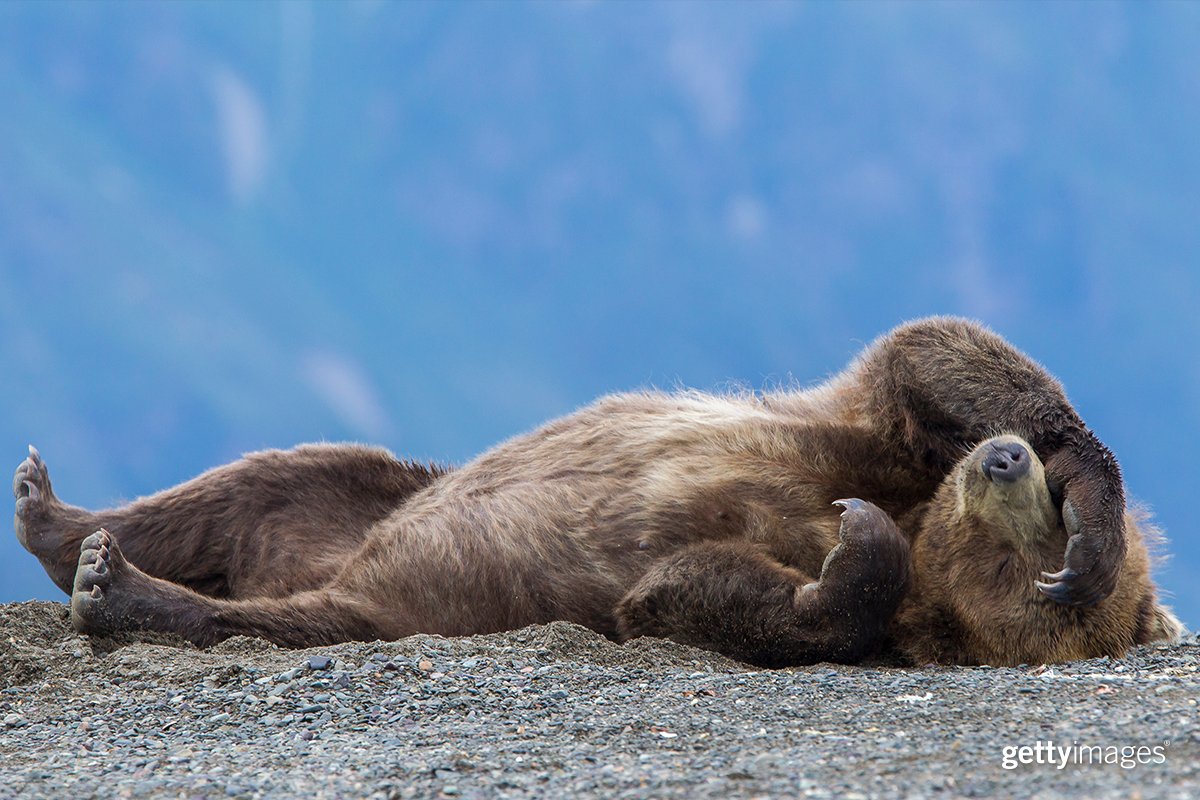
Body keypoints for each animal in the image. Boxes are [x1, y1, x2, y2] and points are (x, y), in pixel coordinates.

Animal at [9, 316, 1185, 666]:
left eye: (1013, 557)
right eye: (1036, 532)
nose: (1004, 466)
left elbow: (689, 590)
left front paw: (854, 557)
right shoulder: (865, 434)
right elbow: (936, 354)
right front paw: (1094, 501)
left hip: (399, 596)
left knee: (298, 615)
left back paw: (119, 586)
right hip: (376, 491)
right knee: (271, 473)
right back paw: (58, 513)